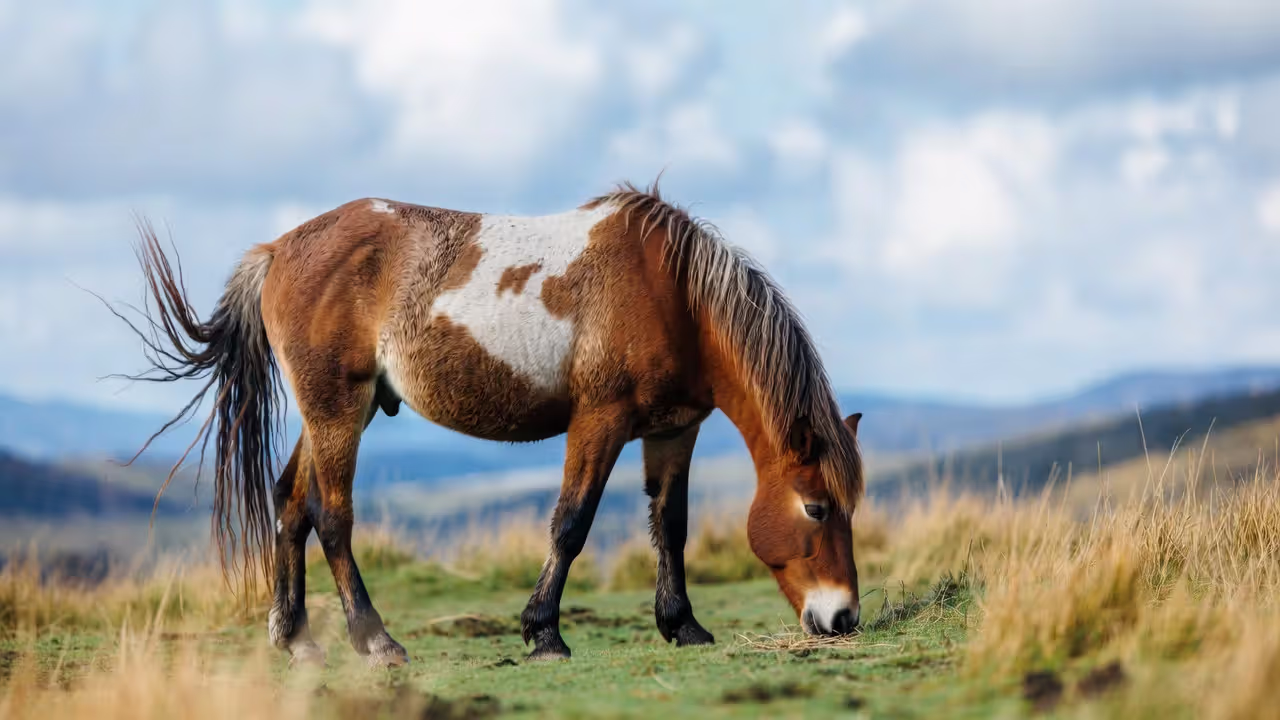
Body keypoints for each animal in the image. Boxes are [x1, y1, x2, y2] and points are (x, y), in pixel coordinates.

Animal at [117, 181, 865, 668]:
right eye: (817, 508)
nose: (844, 619)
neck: (671, 293)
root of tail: (279, 248)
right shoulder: (600, 421)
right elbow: (571, 524)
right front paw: (544, 634)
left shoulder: (673, 430)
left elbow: (670, 527)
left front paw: (682, 626)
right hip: (337, 410)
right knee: (330, 516)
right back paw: (376, 640)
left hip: (333, 411)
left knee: (289, 504)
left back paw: (296, 638)